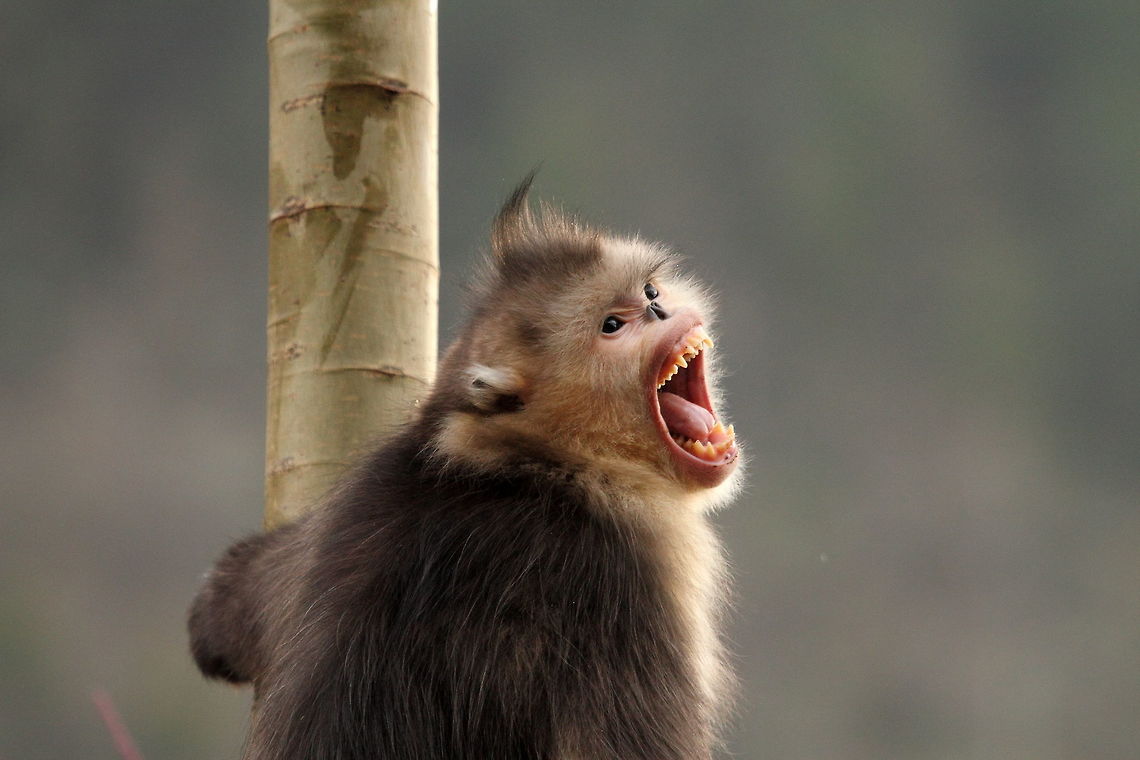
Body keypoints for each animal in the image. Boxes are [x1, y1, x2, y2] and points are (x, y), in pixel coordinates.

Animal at [188, 177, 742, 760]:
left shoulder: (368, 494)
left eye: (651, 292)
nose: (659, 311)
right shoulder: (622, 577)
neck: (537, 465)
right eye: (612, 325)